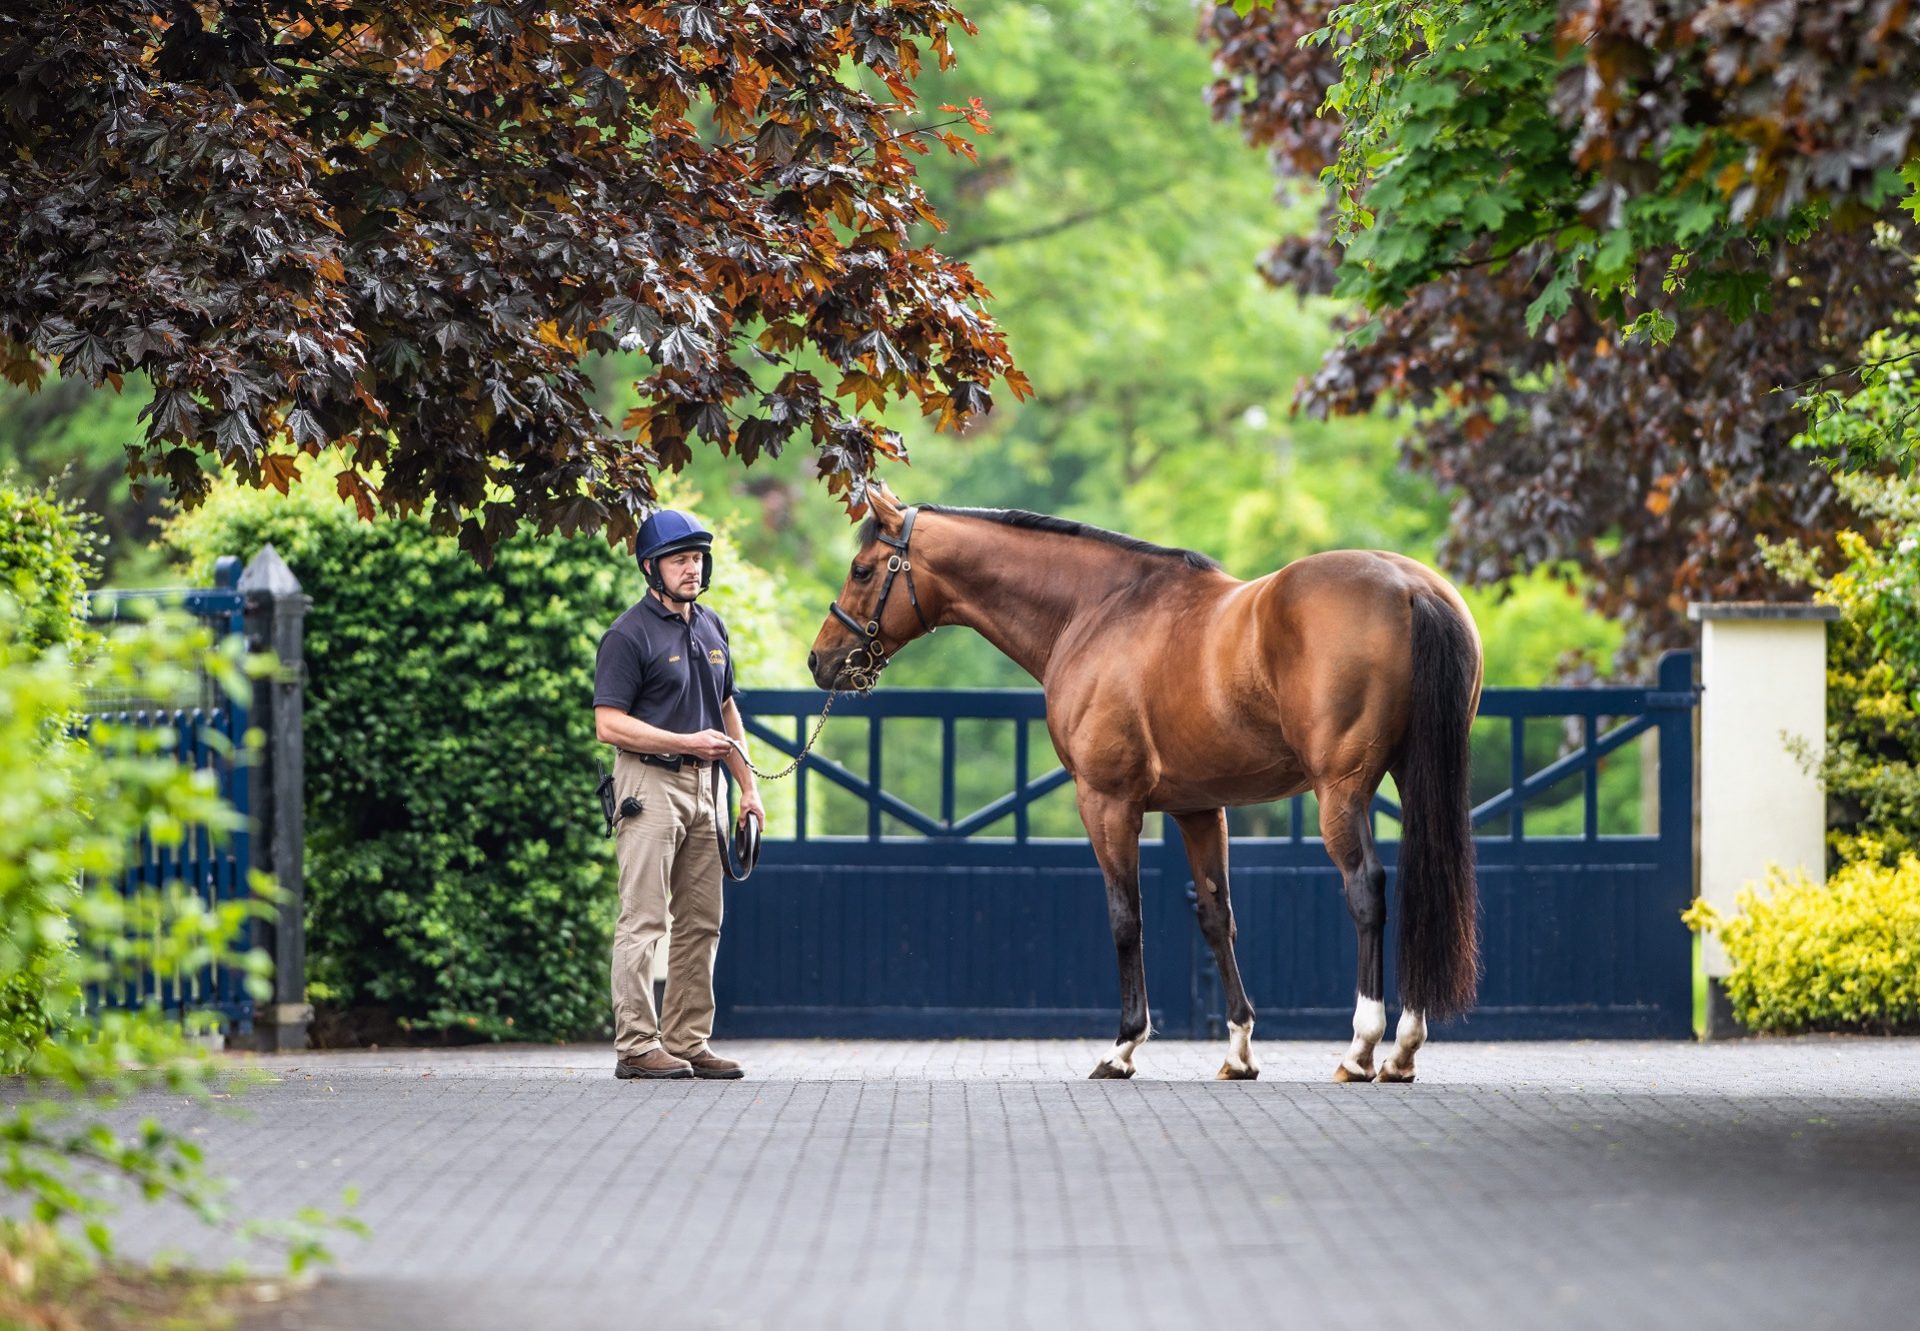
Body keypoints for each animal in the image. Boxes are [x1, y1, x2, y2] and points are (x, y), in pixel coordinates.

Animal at [810, 480, 1482, 1083]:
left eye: (862, 570)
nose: (822, 660)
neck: (1095, 610)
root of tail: (1411, 589)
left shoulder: (1107, 802)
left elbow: (1124, 916)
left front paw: (1123, 1046)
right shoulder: (1200, 808)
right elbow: (1215, 915)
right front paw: (1239, 1051)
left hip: (1341, 791)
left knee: (1366, 889)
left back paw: (1363, 1048)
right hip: (1414, 776)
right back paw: (1402, 1052)